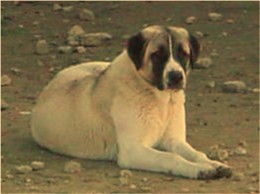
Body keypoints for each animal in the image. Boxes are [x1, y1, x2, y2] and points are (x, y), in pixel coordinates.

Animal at [30, 25, 232, 179]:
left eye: (183, 54)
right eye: (157, 55)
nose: (176, 76)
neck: (160, 100)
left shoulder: (174, 140)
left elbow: (195, 153)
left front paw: (212, 163)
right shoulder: (133, 150)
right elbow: (171, 158)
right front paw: (199, 170)